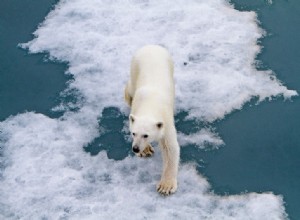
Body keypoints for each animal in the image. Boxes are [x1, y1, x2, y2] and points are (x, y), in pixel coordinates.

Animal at [125, 44, 180, 194]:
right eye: (133, 133)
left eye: (146, 135)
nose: (136, 149)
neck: (150, 103)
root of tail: (151, 46)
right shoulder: (136, 108)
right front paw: (146, 150)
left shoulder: (166, 122)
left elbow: (170, 149)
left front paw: (166, 186)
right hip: (134, 67)